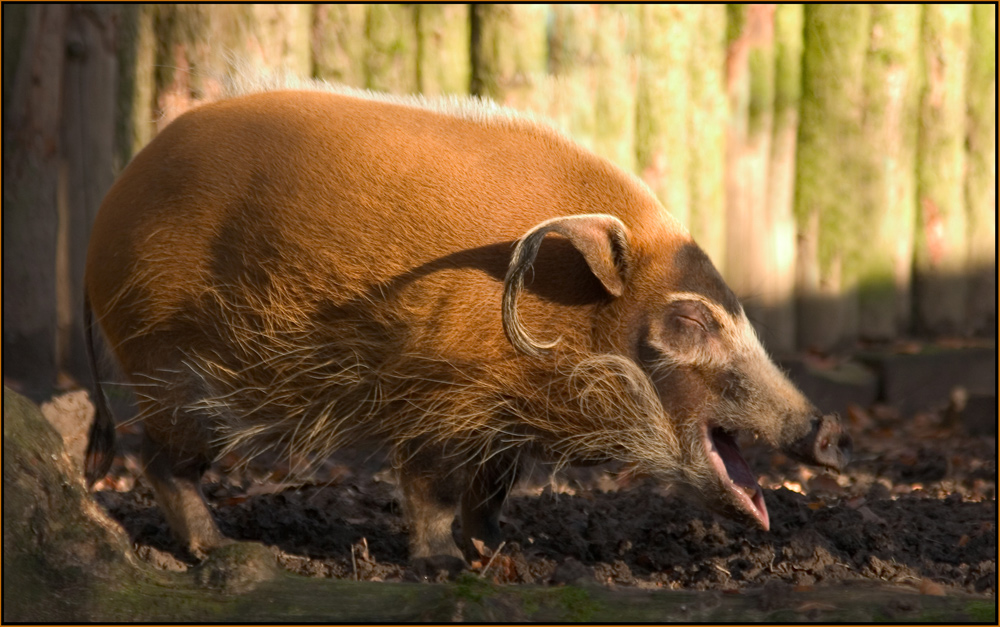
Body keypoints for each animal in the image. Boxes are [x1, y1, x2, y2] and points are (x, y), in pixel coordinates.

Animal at [86, 81, 852, 576]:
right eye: (691, 319)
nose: (830, 430)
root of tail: (104, 213)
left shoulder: (498, 420)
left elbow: (490, 492)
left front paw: (502, 555)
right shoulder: (432, 395)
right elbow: (430, 489)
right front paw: (440, 567)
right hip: (175, 374)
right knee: (157, 461)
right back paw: (225, 551)